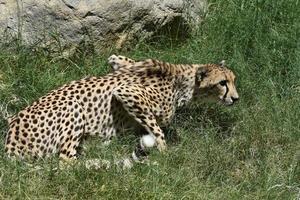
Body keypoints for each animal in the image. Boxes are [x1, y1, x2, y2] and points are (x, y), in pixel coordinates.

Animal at [4, 54, 239, 164]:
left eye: (233, 80)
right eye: (222, 83)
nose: (236, 98)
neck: (182, 81)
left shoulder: (118, 62)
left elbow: (118, 60)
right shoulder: (126, 92)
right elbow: (159, 127)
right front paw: (165, 153)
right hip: (73, 107)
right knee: (65, 162)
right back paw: (101, 162)